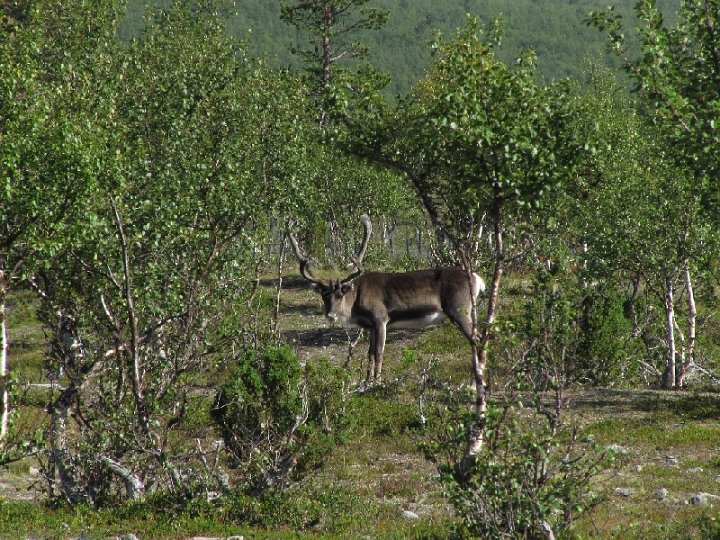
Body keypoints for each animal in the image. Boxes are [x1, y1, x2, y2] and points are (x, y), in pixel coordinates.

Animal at [287, 215, 485, 383]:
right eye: (323, 295)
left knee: (477, 340)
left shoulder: (381, 319)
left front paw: (377, 382)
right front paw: (366, 382)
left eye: (340, 294)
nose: (330, 315)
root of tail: (477, 279)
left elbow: (379, 353)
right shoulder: (370, 326)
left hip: (459, 310)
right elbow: (369, 354)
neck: (355, 304)